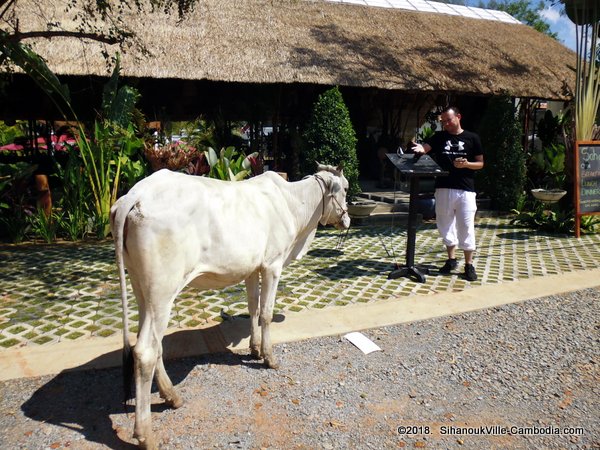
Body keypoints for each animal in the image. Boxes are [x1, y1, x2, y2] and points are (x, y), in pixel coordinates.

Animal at [110, 163, 350, 448]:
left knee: (150, 344)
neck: (292, 203)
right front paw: (269, 358)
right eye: (345, 189)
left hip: (141, 288)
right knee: (146, 350)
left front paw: (255, 349)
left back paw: (173, 397)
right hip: (162, 291)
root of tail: (135, 195)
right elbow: (266, 313)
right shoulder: (272, 265)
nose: (347, 219)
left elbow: (253, 309)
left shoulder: (252, 269)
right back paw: (146, 434)